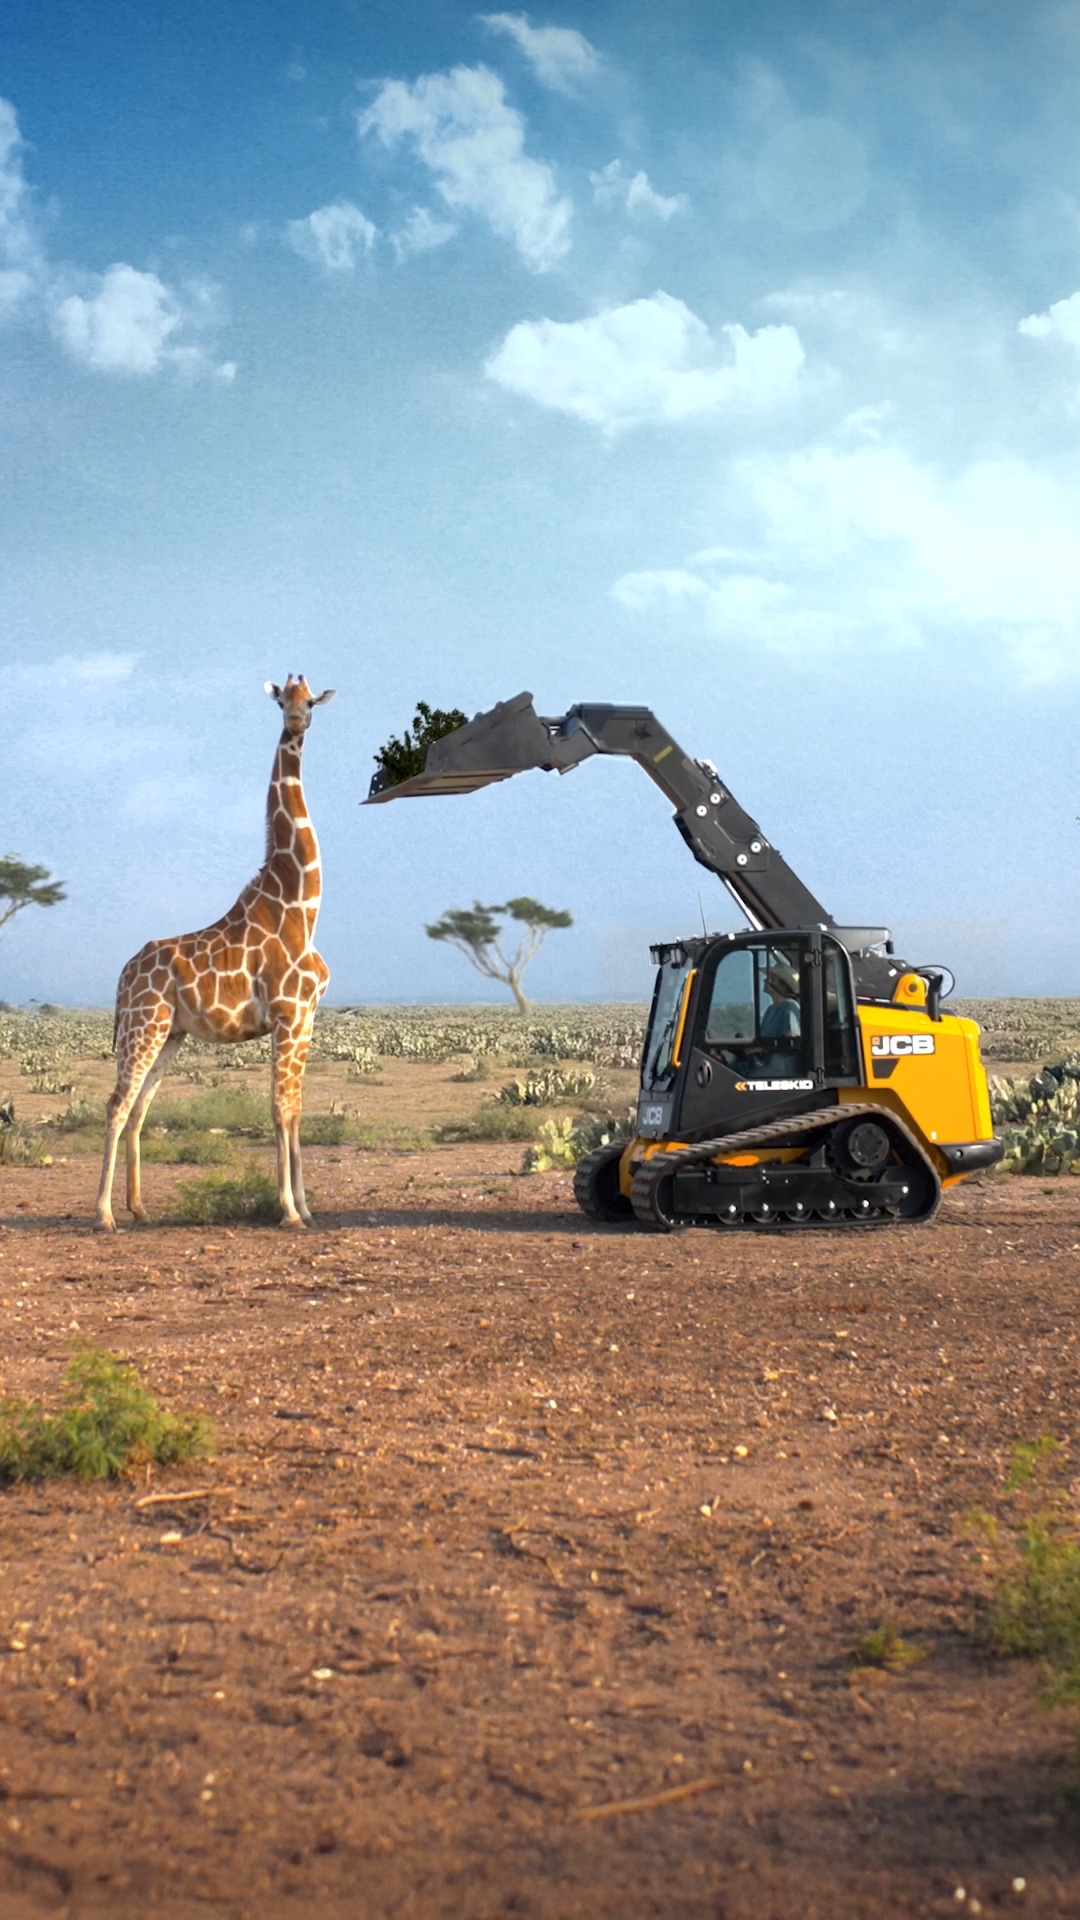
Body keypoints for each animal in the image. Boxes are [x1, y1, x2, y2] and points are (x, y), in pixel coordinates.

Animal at [95, 674, 335, 1232]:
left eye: (312, 701)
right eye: (282, 700)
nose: (298, 722)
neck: (300, 905)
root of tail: (123, 974)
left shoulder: (307, 1017)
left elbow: (295, 1109)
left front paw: (307, 1207)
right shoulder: (287, 1014)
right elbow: (278, 1108)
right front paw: (288, 1210)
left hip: (171, 1033)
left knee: (139, 1107)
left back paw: (139, 1207)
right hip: (143, 1025)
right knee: (117, 1104)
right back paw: (104, 1214)